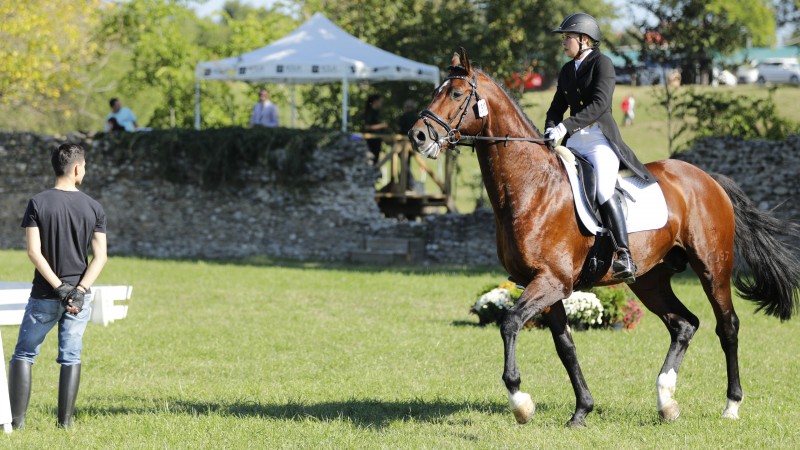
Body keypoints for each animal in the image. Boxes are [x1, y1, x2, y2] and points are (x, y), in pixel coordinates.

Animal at [408, 48, 800, 427]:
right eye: (437, 91)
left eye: (456, 93)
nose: (418, 136)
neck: (532, 186)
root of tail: (707, 179)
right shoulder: (545, 285)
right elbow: (565, 345)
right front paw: (582, 410)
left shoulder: (552, 281)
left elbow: (510, 323)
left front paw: (521, 403)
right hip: (650, 279)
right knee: (684, 324)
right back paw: (666, 402)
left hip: (712, 268)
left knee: (727, 326)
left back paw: (731, 406)